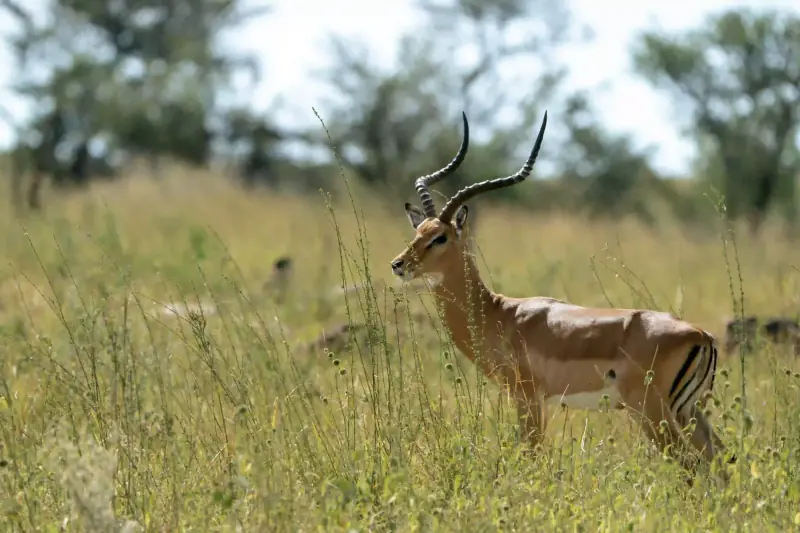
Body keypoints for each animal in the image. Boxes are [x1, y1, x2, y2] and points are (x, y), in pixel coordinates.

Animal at [390, 111, 729, 475]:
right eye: (418, 231)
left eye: (440, 237)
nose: (398, 264)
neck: (498, 314)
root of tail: (702, 336)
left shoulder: (527, 398)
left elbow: (532, 455)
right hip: (689, 411)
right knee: (723, 461)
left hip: (653, 413)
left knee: (693, 466)